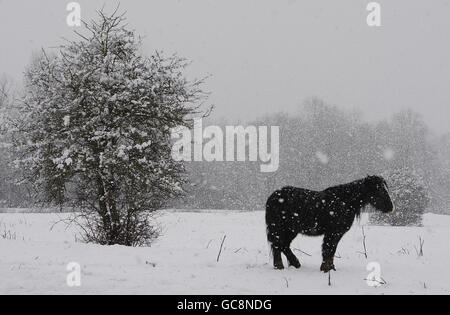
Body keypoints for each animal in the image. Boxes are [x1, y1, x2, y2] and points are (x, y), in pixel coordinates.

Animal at [266, 177, 396, 272]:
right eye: (379, 190)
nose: (391, 208)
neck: (345, 201)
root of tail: (273, 196)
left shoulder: (336, 233)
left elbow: (331, 250)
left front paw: (330, 268)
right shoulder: (333, 232)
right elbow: (328, 249)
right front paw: (326, 269)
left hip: (290, 231)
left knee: (283, 246)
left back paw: (294, 264)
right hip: (281, 229)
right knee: (278, 245)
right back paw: (281, 266)